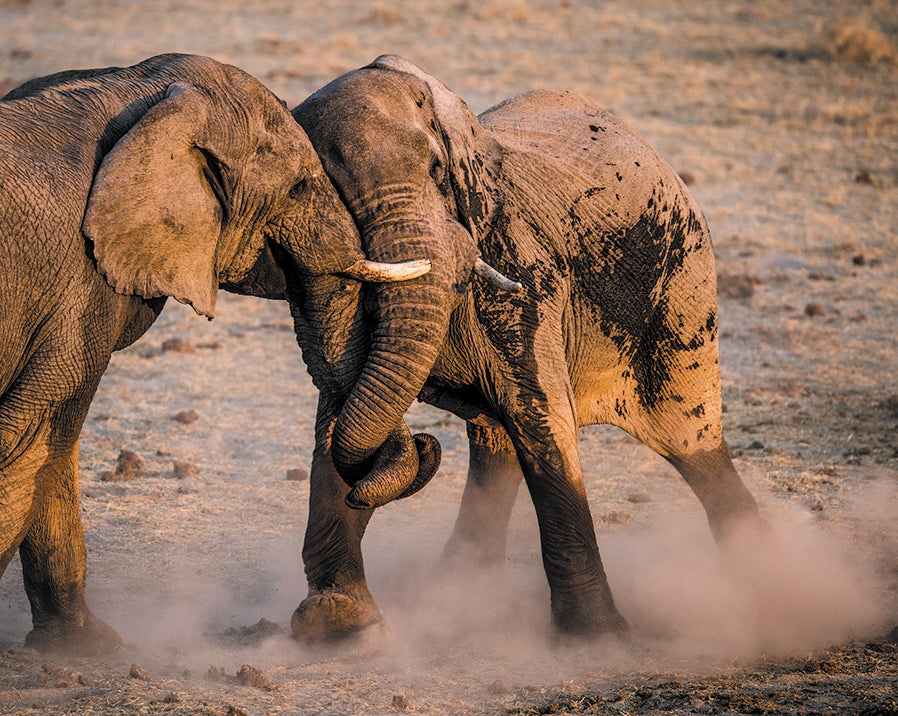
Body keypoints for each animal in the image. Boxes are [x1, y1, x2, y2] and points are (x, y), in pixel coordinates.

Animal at [0, 53, 428, 656]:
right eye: (299, 186)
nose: (429, 443)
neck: (136, 87)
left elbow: (50, 454)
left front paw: (85, 649)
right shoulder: (77, 292)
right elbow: (35, 444)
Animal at [288, 53, 764, 640]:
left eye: (438, 173)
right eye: (335, 197)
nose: (424, 443)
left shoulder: (523, 273)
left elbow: (542, 418)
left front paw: (597, 641)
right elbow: (336, 417)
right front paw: (338, 623)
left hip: (682, 290)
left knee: (690, 439)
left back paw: (769, 581)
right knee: (496, 445)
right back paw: (459, 592)